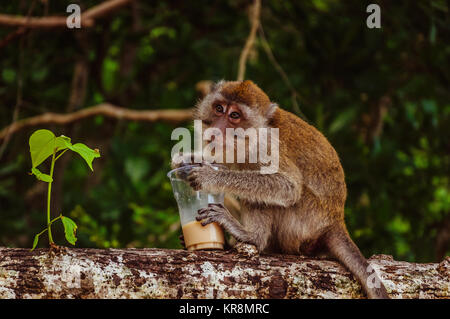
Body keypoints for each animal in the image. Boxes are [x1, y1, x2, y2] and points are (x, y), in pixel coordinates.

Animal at [174, 80, 388, 300]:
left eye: (234, 115)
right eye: (219, 108)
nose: (215, 131)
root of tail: (335, 221)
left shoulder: (266, 147)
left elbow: (288, 187)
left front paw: (210, 177)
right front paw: (188, 160)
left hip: (303, 221)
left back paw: (251, 237)